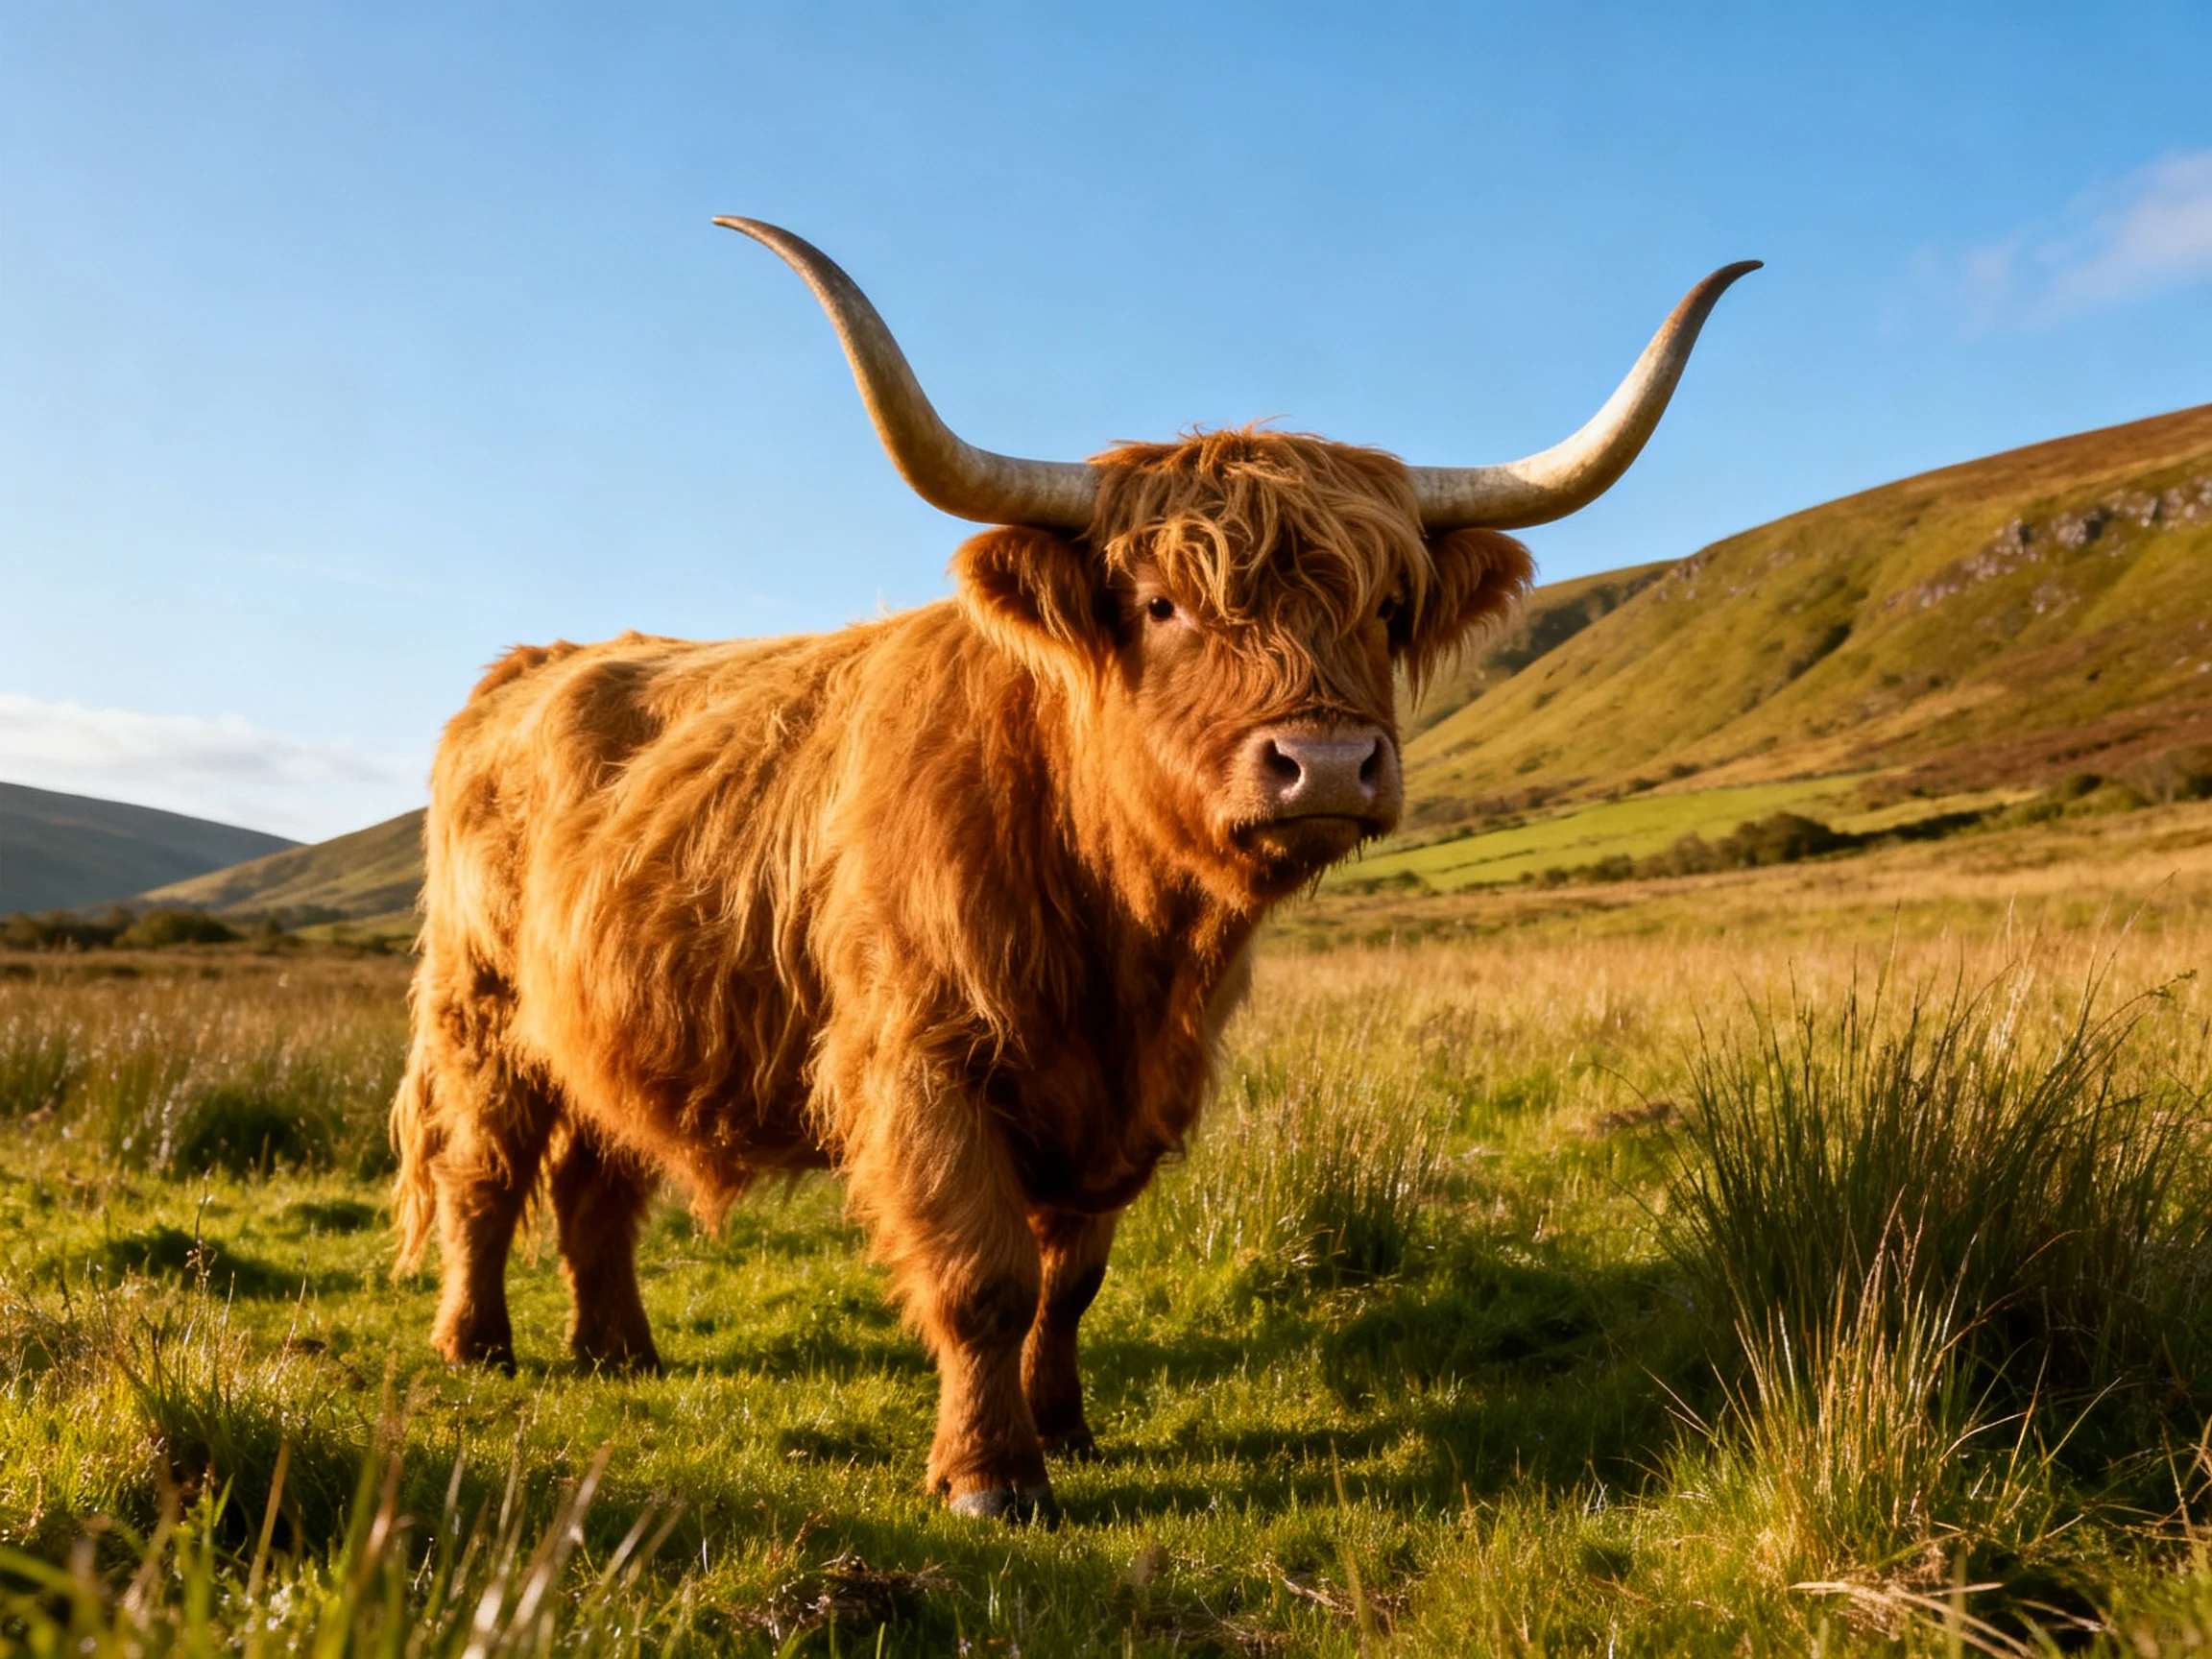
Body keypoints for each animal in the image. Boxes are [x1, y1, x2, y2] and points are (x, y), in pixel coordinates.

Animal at [391, 219, 1754, 1521]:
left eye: (1383, 608)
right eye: (1159, 604)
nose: (1325, 762)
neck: (1124, 940)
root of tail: (537, 661)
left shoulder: (1128, 1090)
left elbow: (1074, 1278)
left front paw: (1067, 1427)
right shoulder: (924, 1060)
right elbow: (984, 1279)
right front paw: (992, 1475)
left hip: (600, 1017)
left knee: (597, 1176)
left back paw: (619, 1351)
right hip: (481, 1005)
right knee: (483, 1164)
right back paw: (476, 1344)